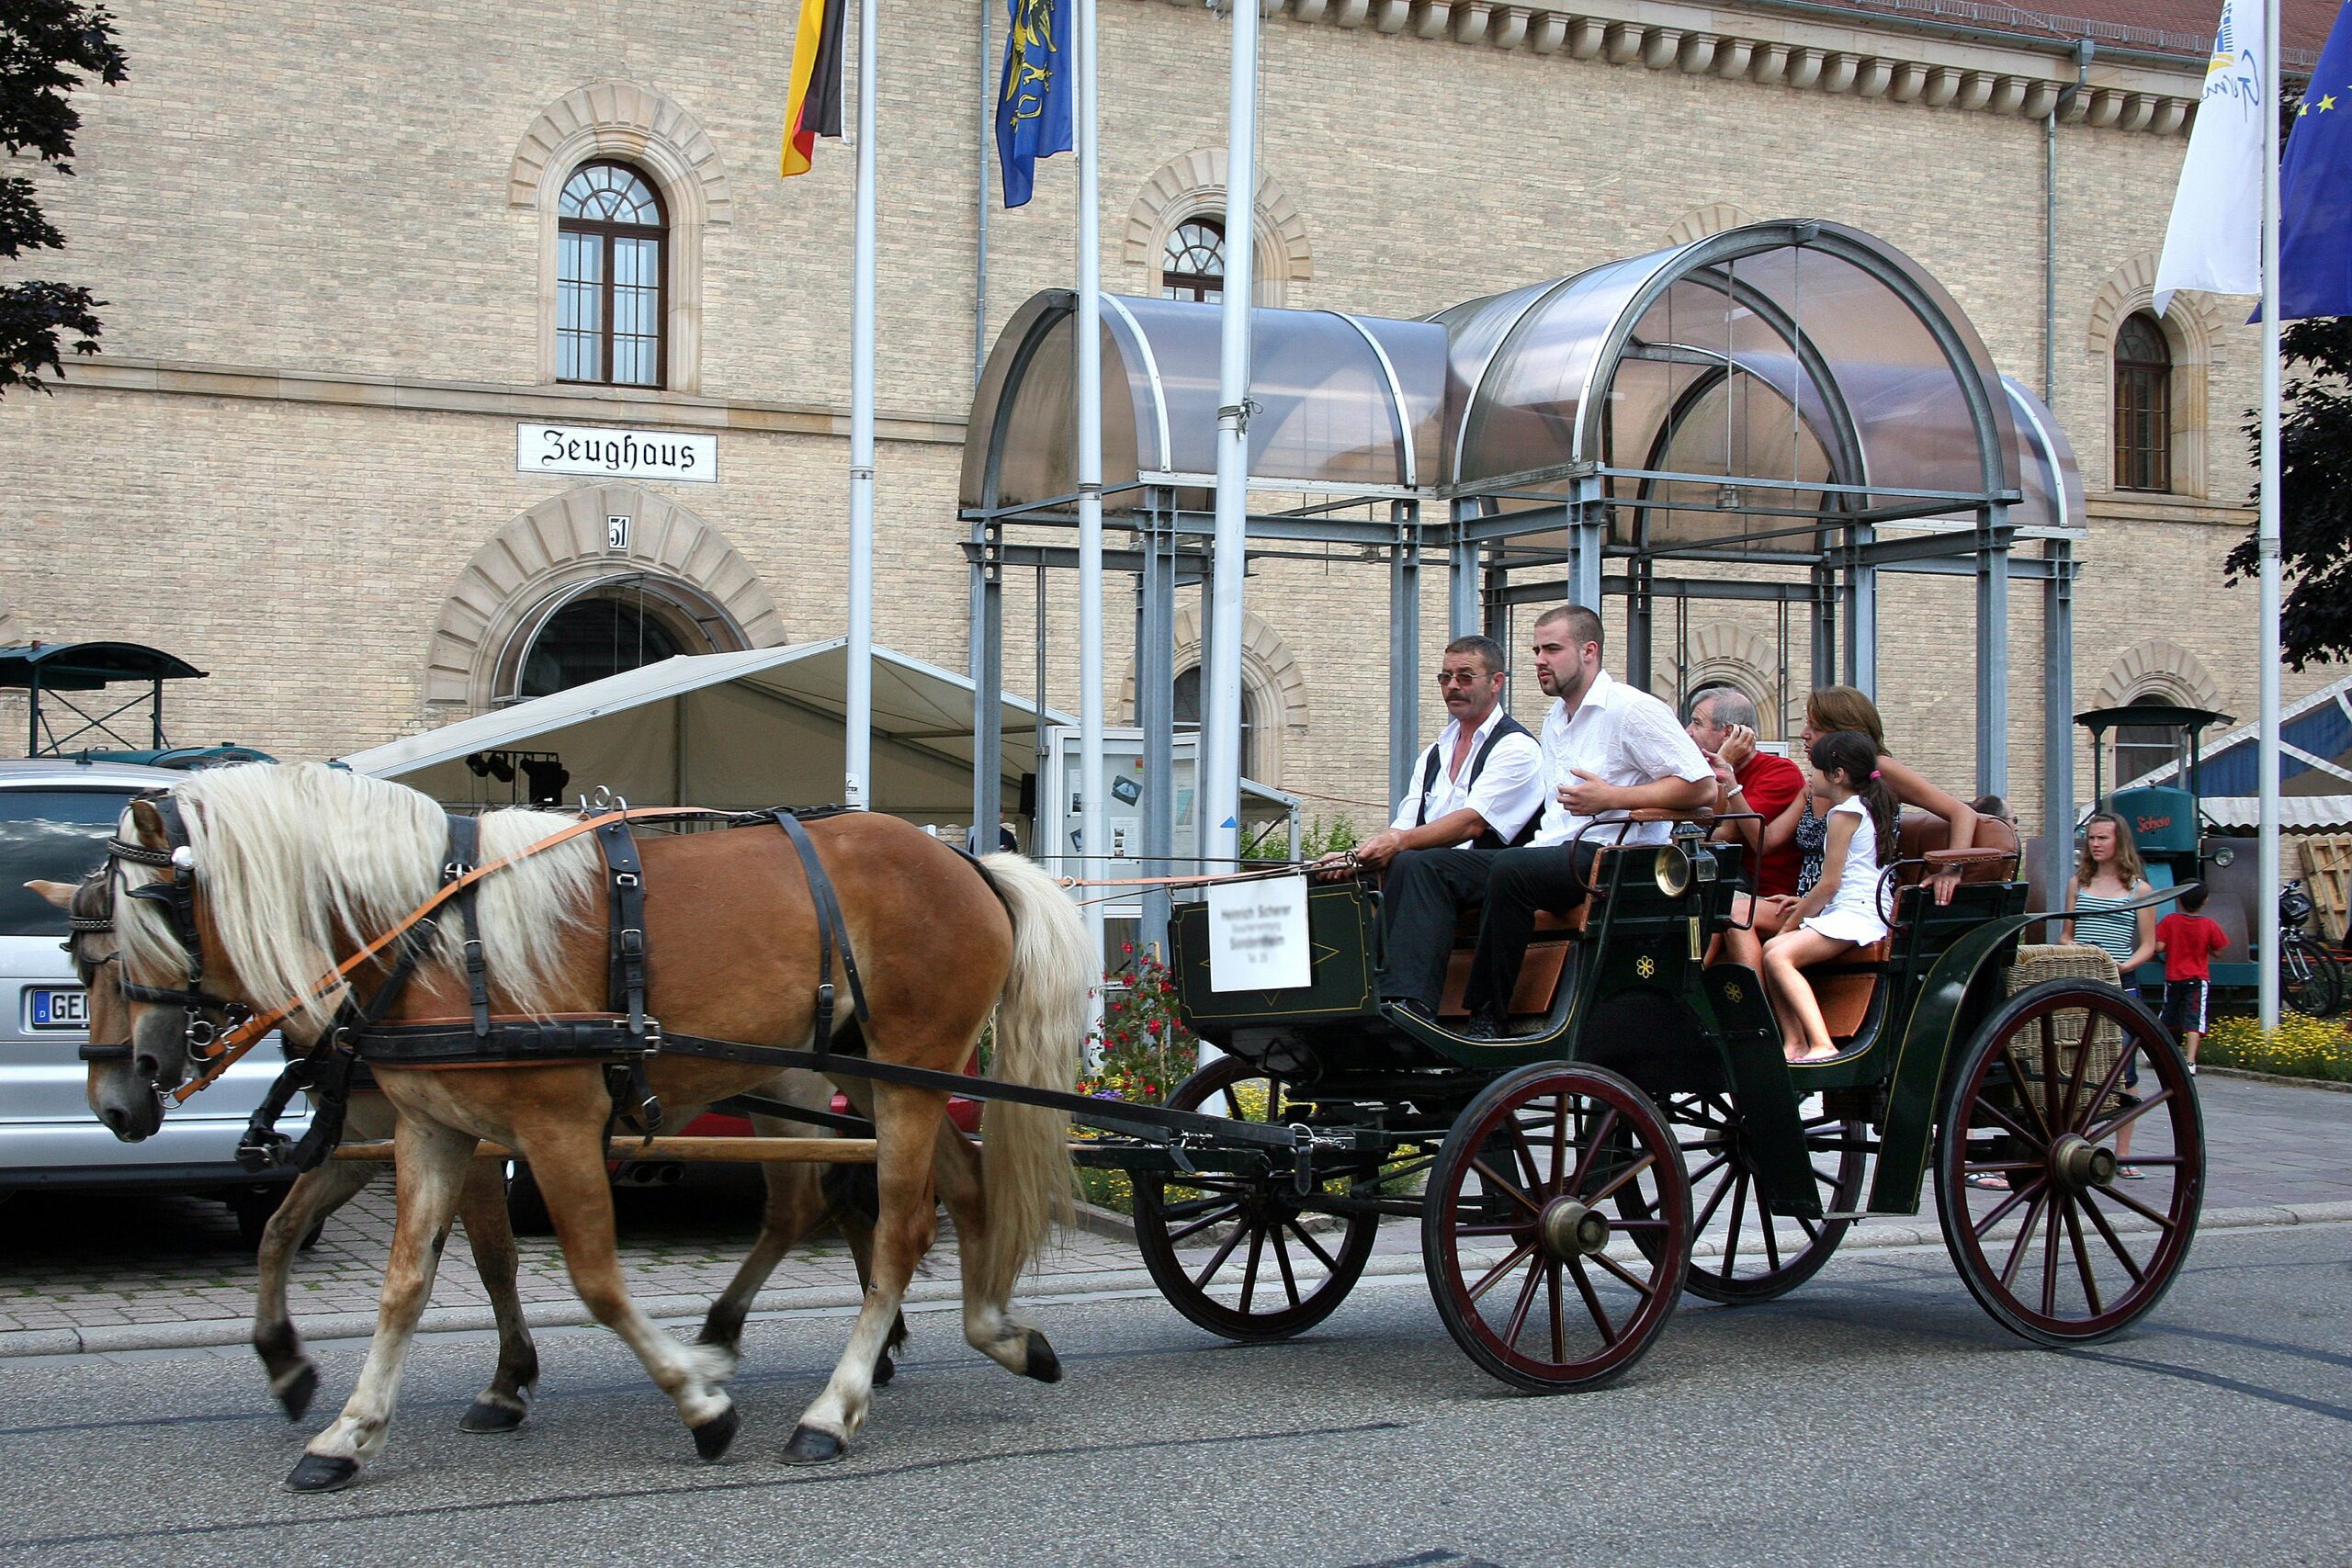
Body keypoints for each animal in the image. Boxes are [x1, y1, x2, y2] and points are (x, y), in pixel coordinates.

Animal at [89, 761, 1081, 1495]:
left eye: (136, 923)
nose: (122, 1096)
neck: (437, 930)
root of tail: (971, 863)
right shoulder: (431, 1131)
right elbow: (405, 1284)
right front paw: (349, 1429)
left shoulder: (557, 1128)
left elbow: (595, 1281)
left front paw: (699, 1404)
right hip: (872, 1076)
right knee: (954, 1187)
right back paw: (995, 1329)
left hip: (905, 1074)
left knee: (901, 1231)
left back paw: (831, 1408)